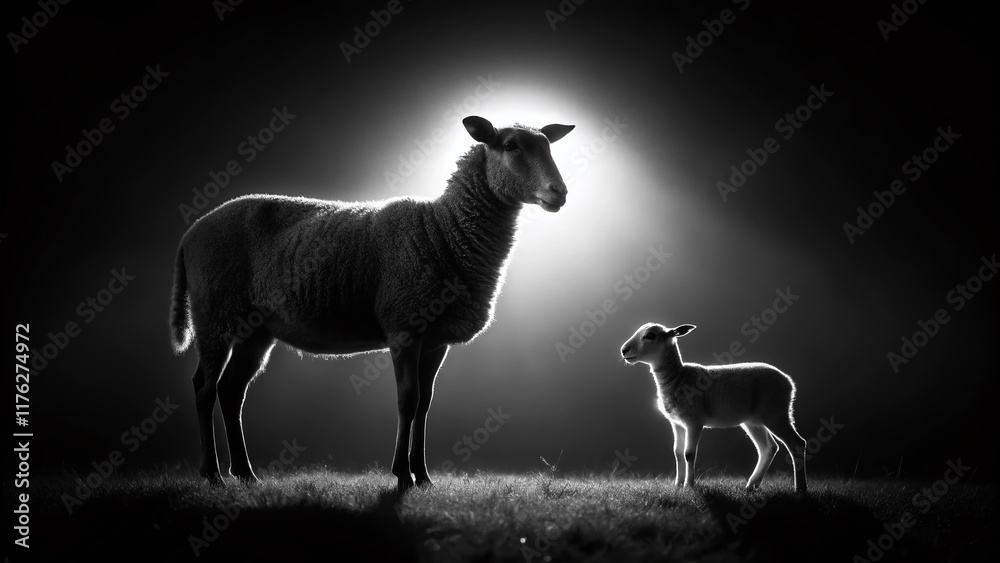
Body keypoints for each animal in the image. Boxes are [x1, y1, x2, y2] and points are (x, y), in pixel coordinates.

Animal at [170, 115, 575, 490]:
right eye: (510, 146)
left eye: (547, 145)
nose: (559, 192)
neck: (443, 231)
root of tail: (189, 235)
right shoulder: (405, 327)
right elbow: (408, 400)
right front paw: (402, 476)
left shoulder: (436, 341)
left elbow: (425, 405)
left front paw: (423, 476)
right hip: (214, 315)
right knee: (204, 388)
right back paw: (212, 474)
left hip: (254, 331)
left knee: (230, 391)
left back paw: (245, 473)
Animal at [620, 322, 807, 492]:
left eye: (650, 335)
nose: (624, 350)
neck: (678, 378)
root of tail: (789, 381)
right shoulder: (677, 423)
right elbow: (677, 453)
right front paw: (678, 485)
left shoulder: (694, 421)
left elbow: (689, 454)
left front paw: (689, 485)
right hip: (754, 420)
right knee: (768, 448)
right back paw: (751, 485)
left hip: (776, 413)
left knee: (797, 443)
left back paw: (800, 488)